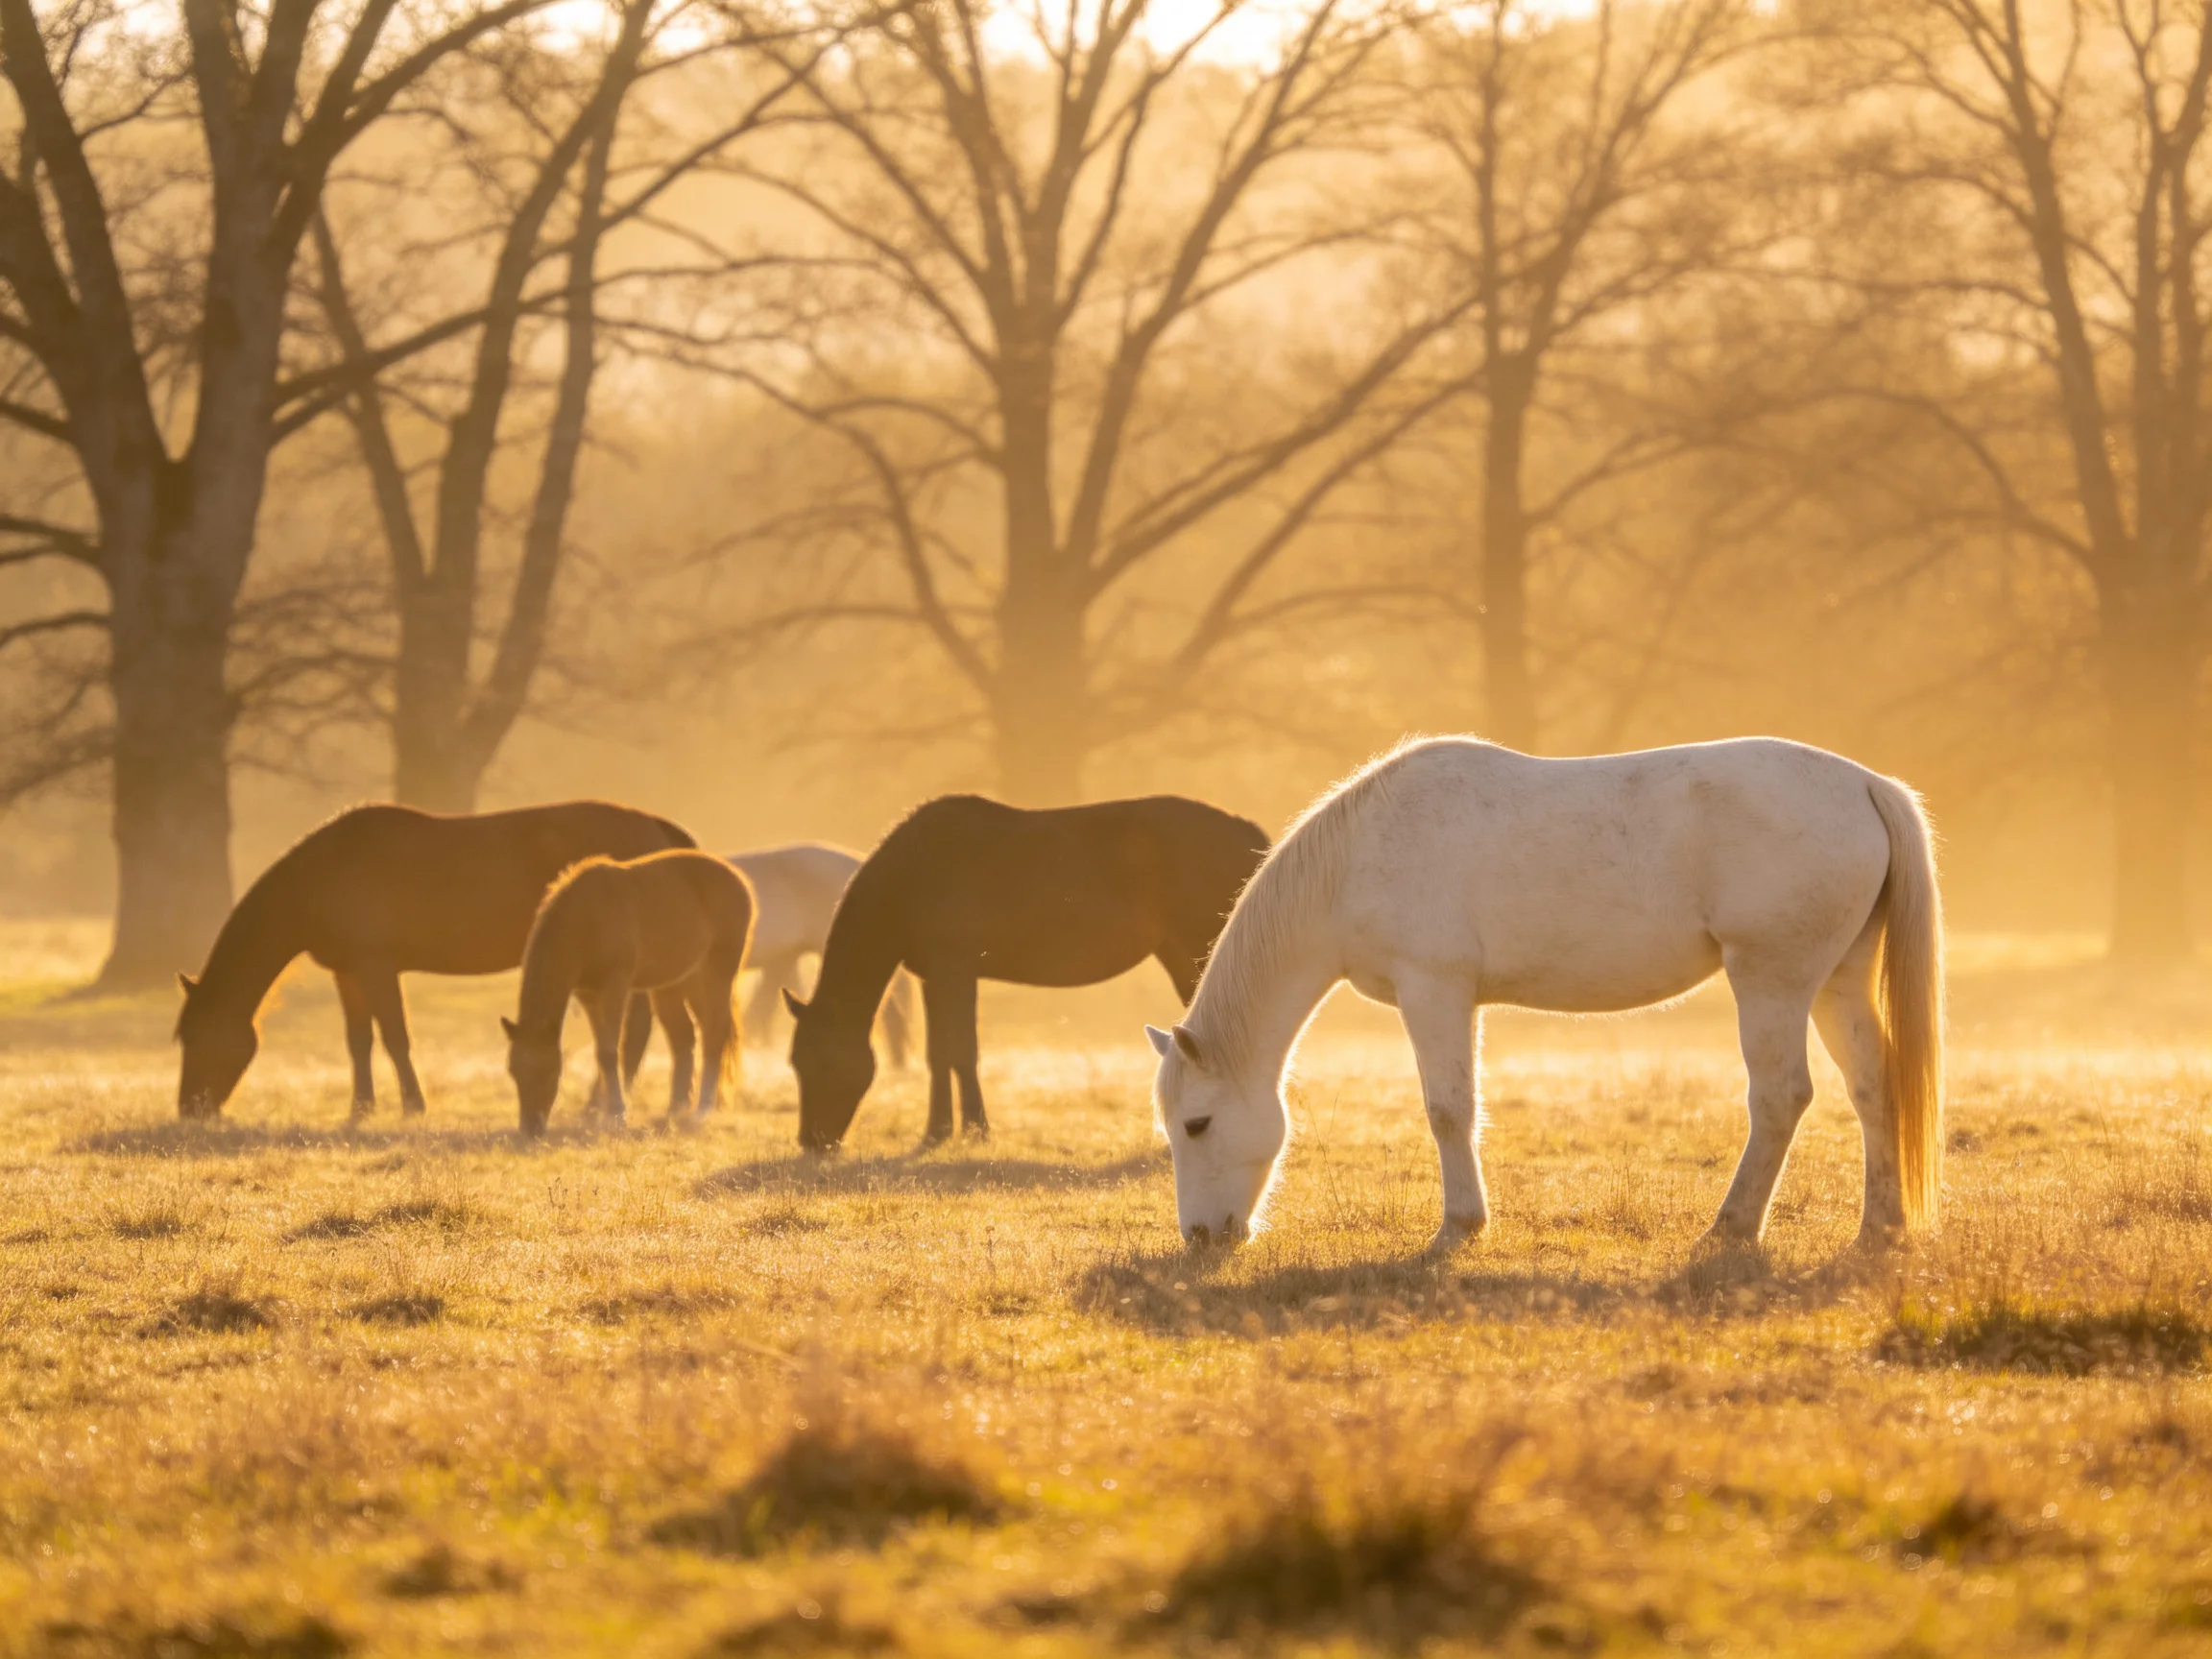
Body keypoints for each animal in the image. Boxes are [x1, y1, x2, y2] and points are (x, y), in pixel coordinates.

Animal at [176, 801, 697, 1120]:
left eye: (198, 1038)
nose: (189, 1110)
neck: (326, 873)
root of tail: (658, 826)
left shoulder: (377, 966)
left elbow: (394, 1037)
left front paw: (412, 1106)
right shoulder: (348, 972)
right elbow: (359, 1040)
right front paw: (361, 1108)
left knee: (633, 1030)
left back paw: (602, 1103)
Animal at [502, 850, 753, 1136]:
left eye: (548, 1071)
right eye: (513, 1070)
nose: (530, 1128)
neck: (586, 919)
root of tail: (737, 879)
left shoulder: (615, 987)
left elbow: (609, 1052)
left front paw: (616, 1114)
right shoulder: (588, 995)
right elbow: (601, 1051)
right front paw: (605, 1111)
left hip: (718, 970)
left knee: (714, 1031)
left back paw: (703, 1107)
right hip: (678, 981)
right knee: (684, 1035)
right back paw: (676, 1107)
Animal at [784, 794, 1271, 1150]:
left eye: (824, 1061)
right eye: (795, 1062)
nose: (812, 1142)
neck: (913, 875)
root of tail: (1247, 830)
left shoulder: (955, 967)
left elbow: (962, 1051)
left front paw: (976, 1130)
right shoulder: (933, 976)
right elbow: (938, 1054)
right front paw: (937, 1132)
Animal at [1147, 737, 1943, 1254]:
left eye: (1196, 1124)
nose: (1201, 1237)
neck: (1355, 859)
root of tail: (1865, 785)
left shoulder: (1433, 990)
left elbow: (1447, 1110)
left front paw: (1458, 1228)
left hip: (1771, 982)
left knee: (1780, 1098)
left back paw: (1731, 1228)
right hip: (1836, 983)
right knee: (1874, 1088)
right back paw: (1879, 1229)